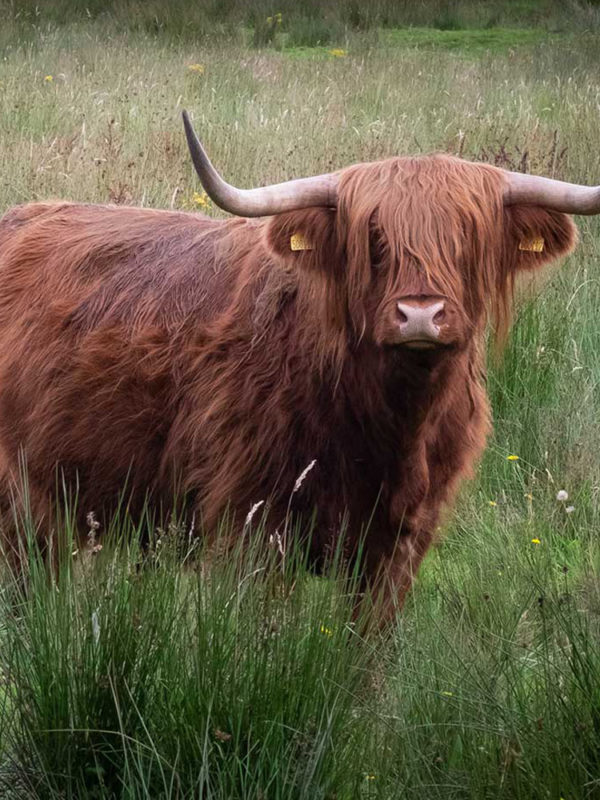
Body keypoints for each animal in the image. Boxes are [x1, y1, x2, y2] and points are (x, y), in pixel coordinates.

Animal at [0, 109, 597, 622]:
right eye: (373, 239)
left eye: (468, 239)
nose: (420, 314)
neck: (389, 422)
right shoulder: (249, 521)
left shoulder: (401, 541)